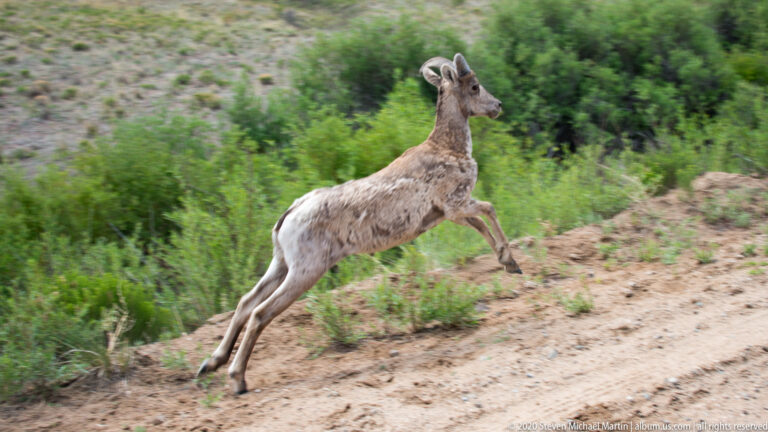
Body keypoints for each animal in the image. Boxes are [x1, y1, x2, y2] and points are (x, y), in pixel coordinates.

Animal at [197, 53, 522, 394]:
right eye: (474, 86)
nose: (497, 106)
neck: (448, 148)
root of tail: (290, 215)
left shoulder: (452, 213)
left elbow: (482, 225)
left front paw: (508, 264)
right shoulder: (457, 204)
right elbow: (490, 210)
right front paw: (511, 262)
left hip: (281, 265)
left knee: (246, 302)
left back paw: (210, 364)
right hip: (305, 272)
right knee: (261, 313)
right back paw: (237, 379)